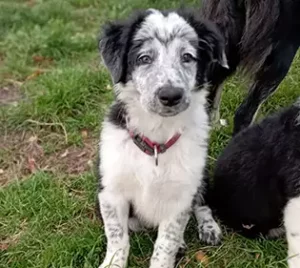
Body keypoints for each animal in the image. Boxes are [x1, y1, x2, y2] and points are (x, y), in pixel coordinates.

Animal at [97, 8, 226, 268]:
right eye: (144, 58)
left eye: (188, 57)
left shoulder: (180, 198)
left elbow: (165, 244)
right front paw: (113, 262)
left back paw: (209, 228)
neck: (156, 138)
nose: (170, 96)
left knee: (202, 204)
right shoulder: (111, 192)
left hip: (200, 177)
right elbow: (117, 236)